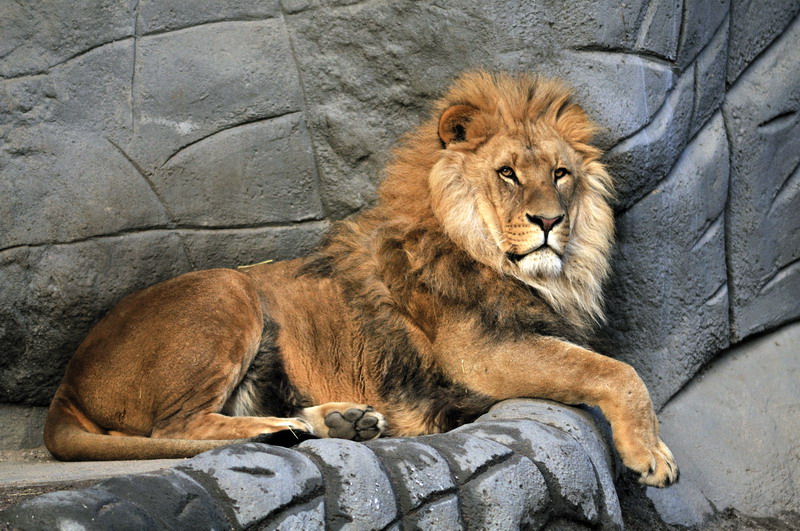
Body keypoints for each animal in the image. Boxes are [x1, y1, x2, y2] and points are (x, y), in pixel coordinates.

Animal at [44, 71, 678, 487]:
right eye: (507, 174)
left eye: (561, 174)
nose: (550, 221)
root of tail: (67, 382)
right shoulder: (478, 354)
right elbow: (615, 371)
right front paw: (653, 456)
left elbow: (605, 366)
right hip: (228, 288)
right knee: (173, 427)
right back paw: (285, 429)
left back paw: (338, 422)